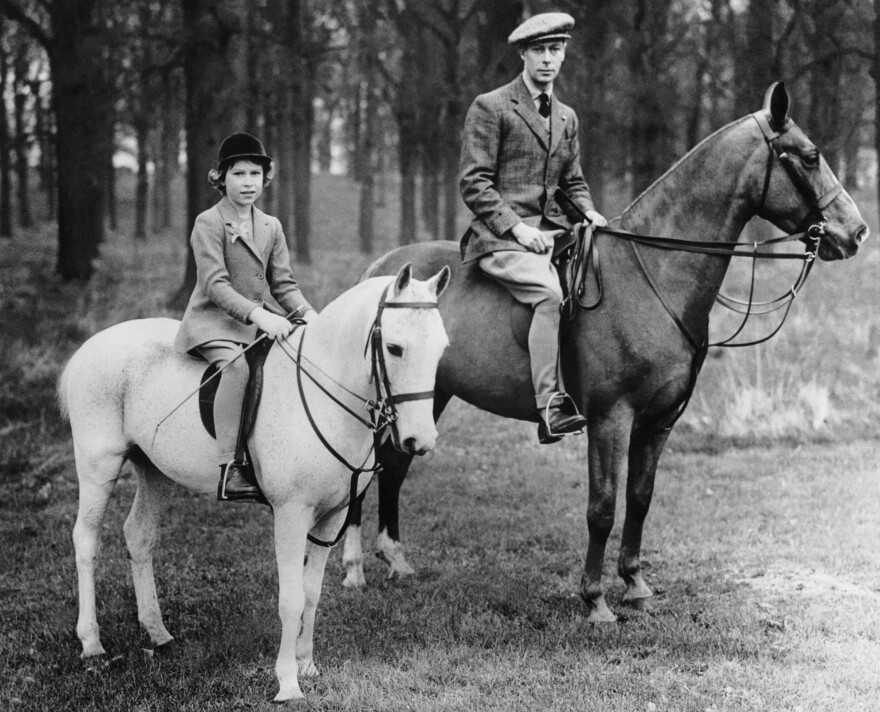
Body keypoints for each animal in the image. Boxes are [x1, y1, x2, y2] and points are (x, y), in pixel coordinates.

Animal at [58, 264, 450, 702]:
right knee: (86, 541)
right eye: (395, 348)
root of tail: (90, 346)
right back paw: (92, 643)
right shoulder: (291, 515)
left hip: (154, 469)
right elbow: (291, 599)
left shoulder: (332, 517)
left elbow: (312, 592)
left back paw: (159, 634)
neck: (326, 394)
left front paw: (307, 665)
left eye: (441, 349)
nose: (420, 441)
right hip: (98, 464)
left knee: (139, 536)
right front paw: (288, 682)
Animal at [340, 82, 869, 622]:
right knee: (365, 469)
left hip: (428, 395)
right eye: (810, 156)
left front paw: (634, 584)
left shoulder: (659, 421)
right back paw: (354, 569)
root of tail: (381, 269)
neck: (650, 273)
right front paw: (595, 600)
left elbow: (639, 498)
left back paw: (396, 561)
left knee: (395, 466)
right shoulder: (610, 418)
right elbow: (602, 506)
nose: (856, 232)